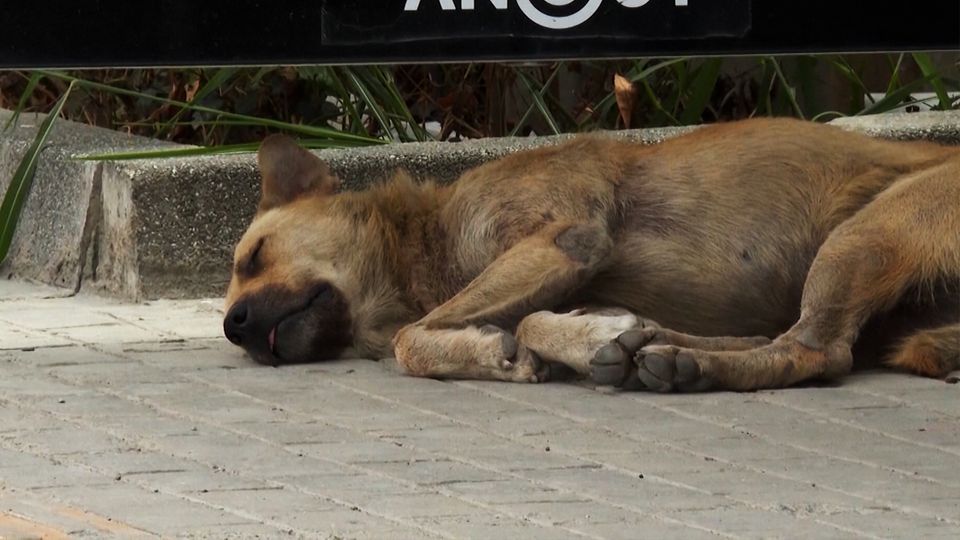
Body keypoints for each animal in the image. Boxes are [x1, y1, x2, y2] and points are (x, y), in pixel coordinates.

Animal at [223, 118, 960, 390]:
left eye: (253, 255)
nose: (233, 326)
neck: (431, 240)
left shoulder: (567, 238)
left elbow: (416, 336)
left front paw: (514, 347)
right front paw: (587, 338)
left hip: (864, 234)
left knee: (818, 351)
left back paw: (687, 363)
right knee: (789, 341)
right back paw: (666, 351)